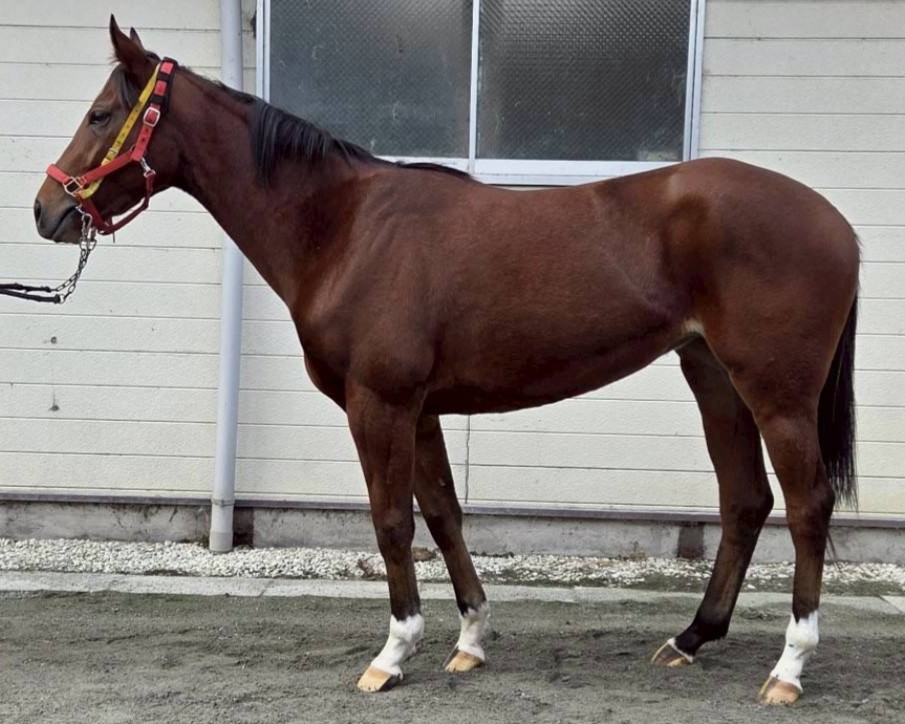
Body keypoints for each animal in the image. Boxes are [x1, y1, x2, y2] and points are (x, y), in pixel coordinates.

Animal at [33, 18, 859, 704]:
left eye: (100, 115)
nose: (47, 210)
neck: (345, 228)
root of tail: (836, 223)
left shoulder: (380, 404)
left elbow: (392, 521)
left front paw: (393, 653)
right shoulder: (422, 408)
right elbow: (443, 514)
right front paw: (469, 640)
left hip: (774, 391)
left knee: (806, 505)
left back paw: (788, 668)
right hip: (711, 375)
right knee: (744, 500)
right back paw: (690, 638)